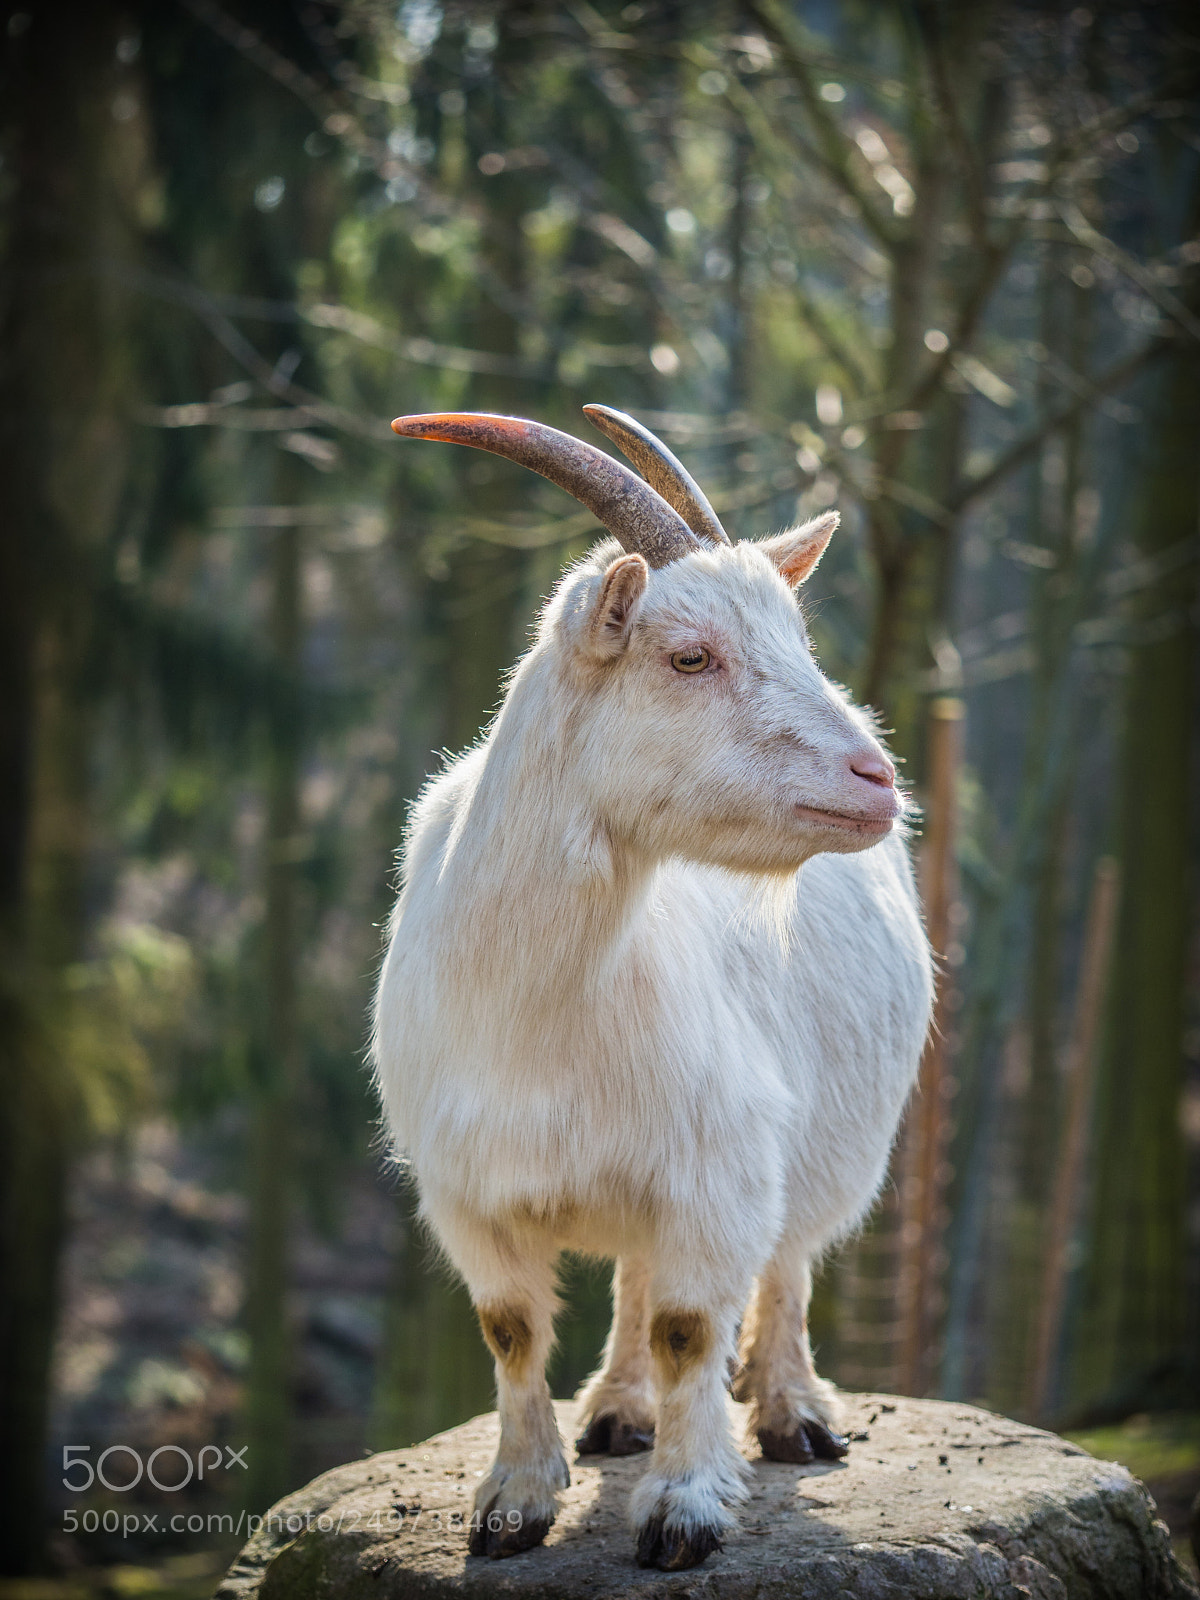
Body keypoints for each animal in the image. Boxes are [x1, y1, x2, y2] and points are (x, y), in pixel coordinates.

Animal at [372, 407, 934, 1571]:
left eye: (796, 640)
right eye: (690, 655)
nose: (877, 779)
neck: (538, 1009)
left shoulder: (719, 1165)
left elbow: (692, 1325)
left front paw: (683, 1509)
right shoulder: (467, 1187)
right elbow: (512, 1328)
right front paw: (512, 1503)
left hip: (829, 1140)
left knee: (787, 1261)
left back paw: (792, 1414)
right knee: (633, 1277)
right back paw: (617, 1411)